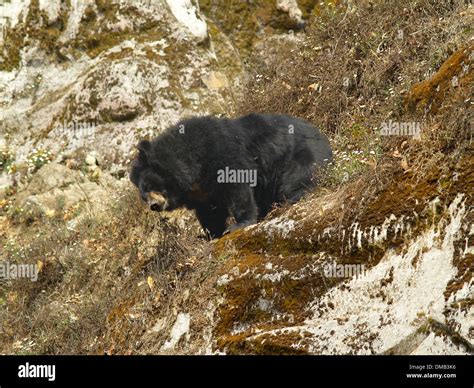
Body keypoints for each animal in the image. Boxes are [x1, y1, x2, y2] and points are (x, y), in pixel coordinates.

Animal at [128, 113, 332, 238]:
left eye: (150, 186)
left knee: (298, 179)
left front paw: (237, 225)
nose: (154, 206)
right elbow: (210, 210)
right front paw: (212, 234)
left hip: (299, 156)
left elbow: (237, 188)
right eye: (143, 196)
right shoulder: (201, 191)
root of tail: (322, 135)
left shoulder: (222, 155)